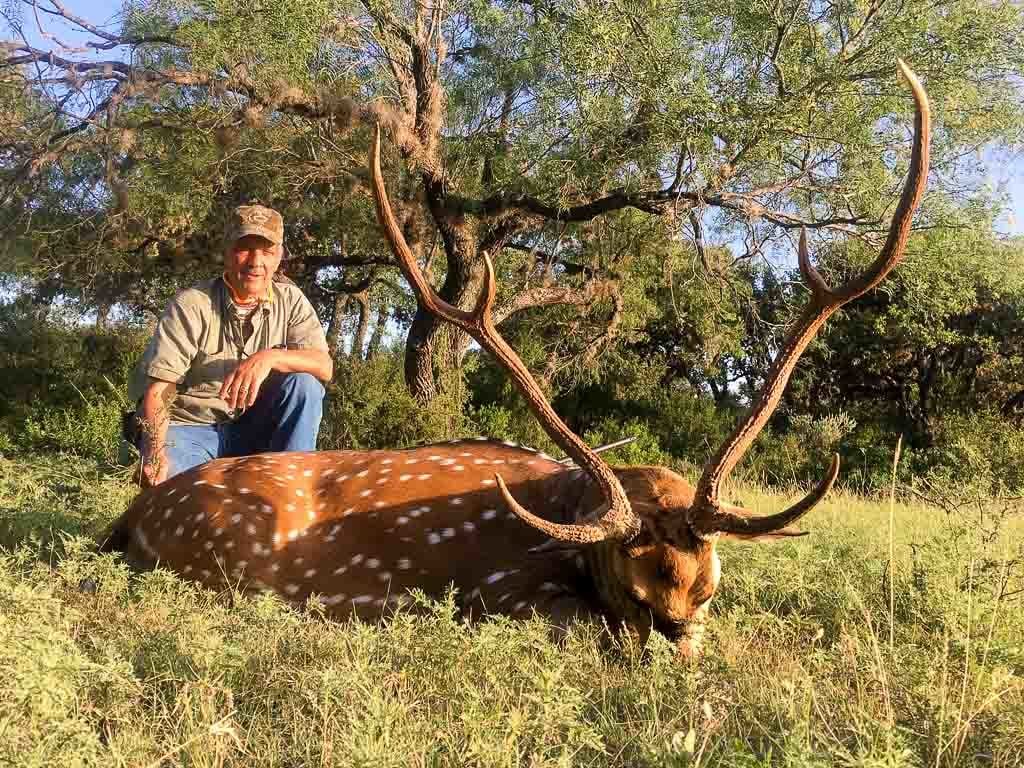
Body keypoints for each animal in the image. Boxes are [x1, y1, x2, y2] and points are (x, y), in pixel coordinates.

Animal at [100, 62, 929, 658]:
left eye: (707, 590)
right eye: (636, 586)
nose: (676, 643)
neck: (568, 524)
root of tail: (136, 512)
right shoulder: (501, 593)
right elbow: (580, 630)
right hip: (227, 562)